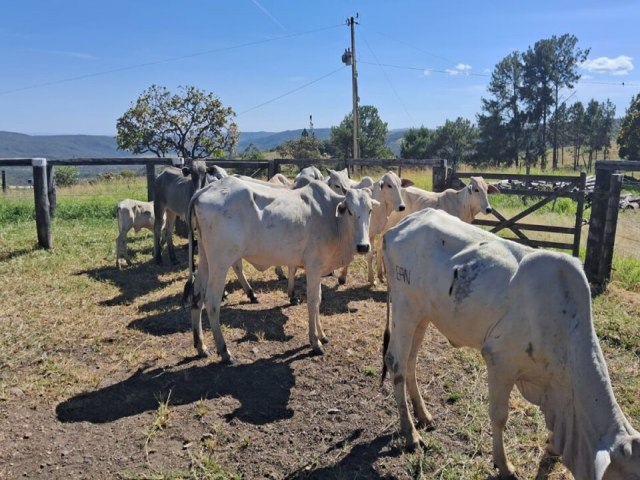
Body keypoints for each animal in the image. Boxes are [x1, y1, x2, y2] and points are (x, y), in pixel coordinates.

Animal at [182, 175, 378, 360]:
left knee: (197, 297)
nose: (363, 246)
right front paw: (315, 342)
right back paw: (225, 352)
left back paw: (201, 346)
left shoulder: (319, 268)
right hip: (220, 262)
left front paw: (322, 335)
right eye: (350, 211)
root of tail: (204, 190)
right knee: (212, 302)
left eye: (370, 210)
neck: (331, 217)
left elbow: (318, 301)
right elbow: (313, 302)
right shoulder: (313, 267)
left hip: (206, 259)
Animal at [382, 209, 636, 480]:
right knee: (396, 364)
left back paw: (423, 415)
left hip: (422, 316)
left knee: (411, 362)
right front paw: (504, 465)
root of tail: (398, 227)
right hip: (404, 307)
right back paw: (411, 434)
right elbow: (499, 417)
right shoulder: (500, 361)